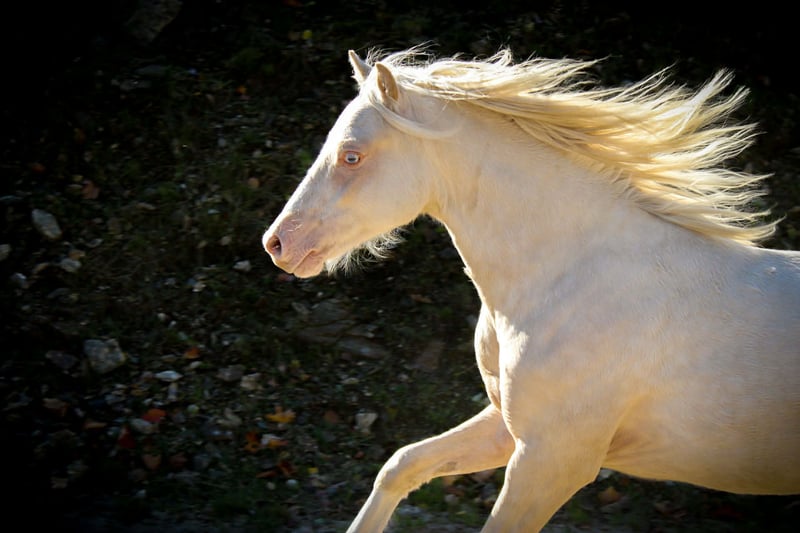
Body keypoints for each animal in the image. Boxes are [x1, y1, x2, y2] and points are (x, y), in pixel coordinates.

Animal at [262, 48, 800, 532]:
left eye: (351, 156)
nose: (278, 243)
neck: (570, 280)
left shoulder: (552, 461)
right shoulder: (508, 430)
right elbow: (401, 465)